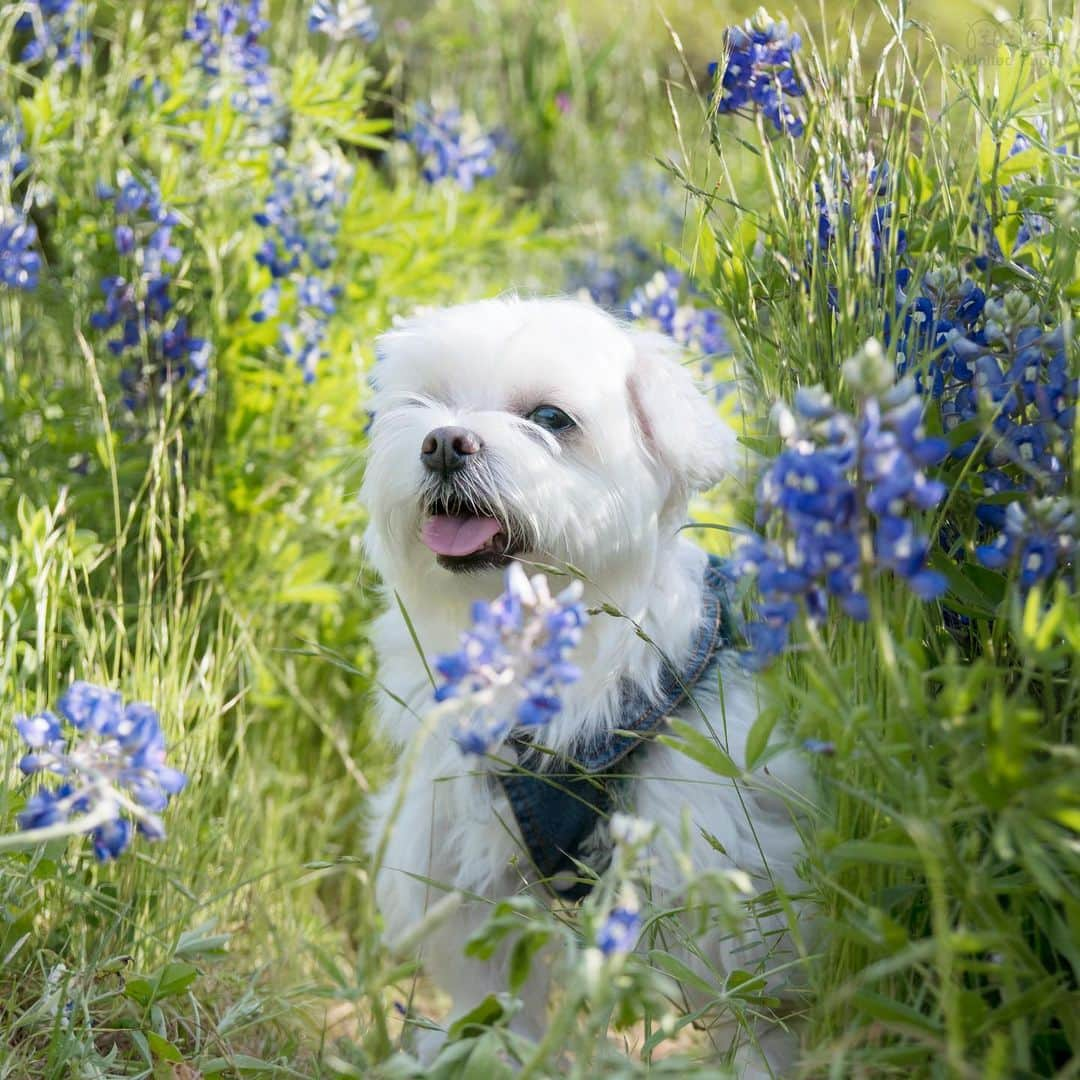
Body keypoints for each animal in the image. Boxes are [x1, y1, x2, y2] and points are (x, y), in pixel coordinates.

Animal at [362, 298, 812, 1080]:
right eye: (427, 404)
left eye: (551, 418)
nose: (443, 442)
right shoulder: (470, 868)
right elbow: (493, 1001)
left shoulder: (728, 865)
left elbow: (759, 1018)